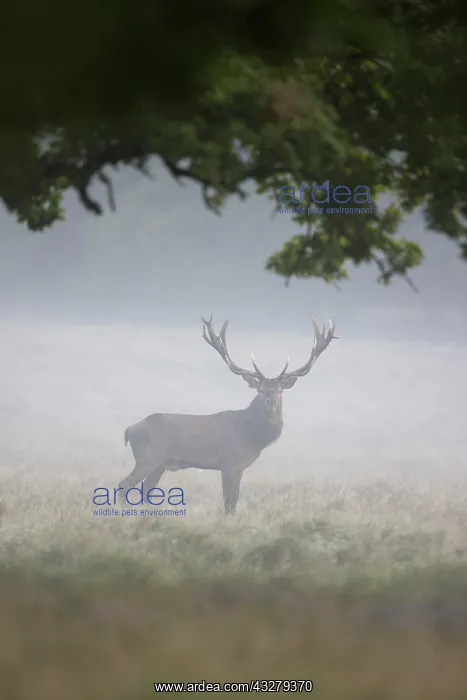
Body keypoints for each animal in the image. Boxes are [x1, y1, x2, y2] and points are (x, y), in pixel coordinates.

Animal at [118, 315, 337, 515]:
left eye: (280, 390)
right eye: (260, 389)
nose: (271, 401)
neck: (251, 436)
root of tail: (129, 430)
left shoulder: (236, 467)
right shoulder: (230, 463)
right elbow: (230, 503)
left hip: (159, 464)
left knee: (146, 491)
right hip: (148, 457)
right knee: (124, 485)